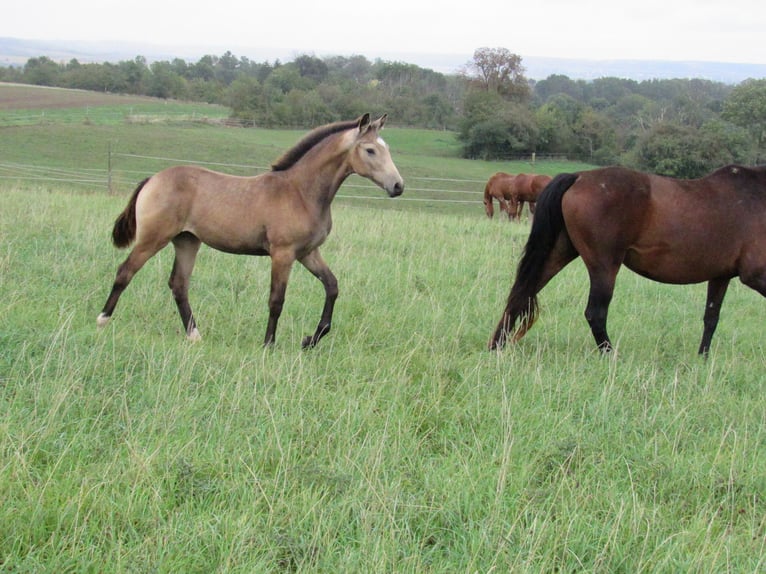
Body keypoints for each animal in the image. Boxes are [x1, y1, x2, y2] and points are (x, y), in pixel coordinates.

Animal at [488, 163, 766, 356]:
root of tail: (579, 176)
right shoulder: (754, 274)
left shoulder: (720, 276)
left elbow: (711, 318)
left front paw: (703, 358)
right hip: (604, 266)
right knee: (595, 313)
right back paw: (610, 355)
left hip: (559, 252)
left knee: (521, 294)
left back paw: (496, 345)